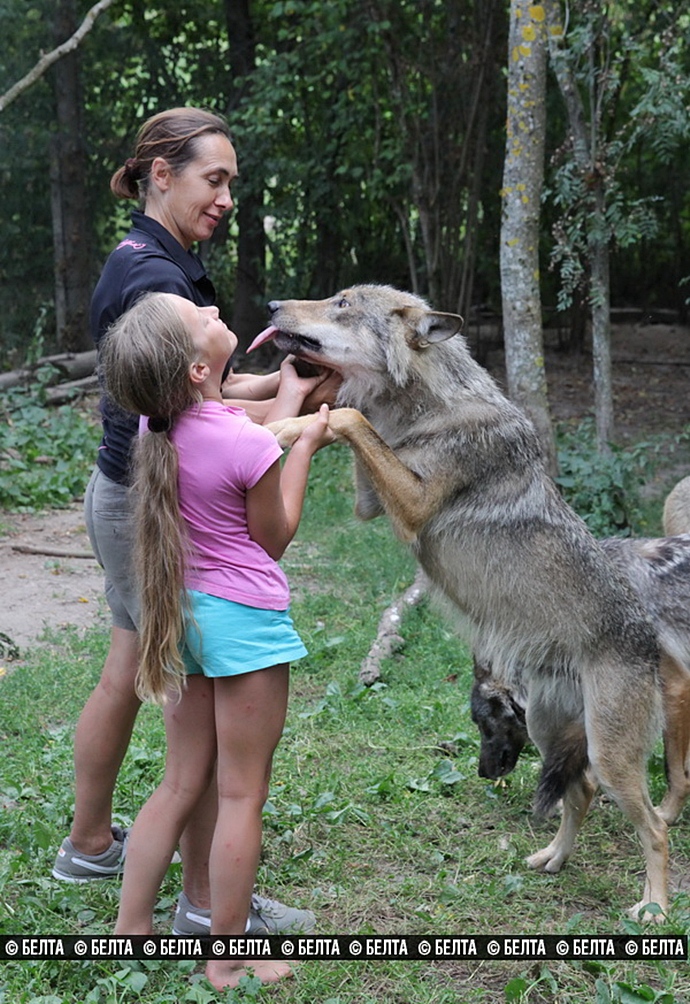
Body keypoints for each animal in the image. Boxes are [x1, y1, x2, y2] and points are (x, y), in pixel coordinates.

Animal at [256, 283, 686, 919]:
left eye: (342, 303)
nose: (269, 307)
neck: (428, 407)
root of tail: (648, 636)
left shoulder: (412, 505)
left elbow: (350, 417)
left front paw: (287, 423)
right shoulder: (368, 502)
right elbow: (337, 418)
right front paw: (283, 423)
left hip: (612, 757)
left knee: (654, 826)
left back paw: (653, 908)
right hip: (551, 733)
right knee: (579, 793)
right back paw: (552, 860)